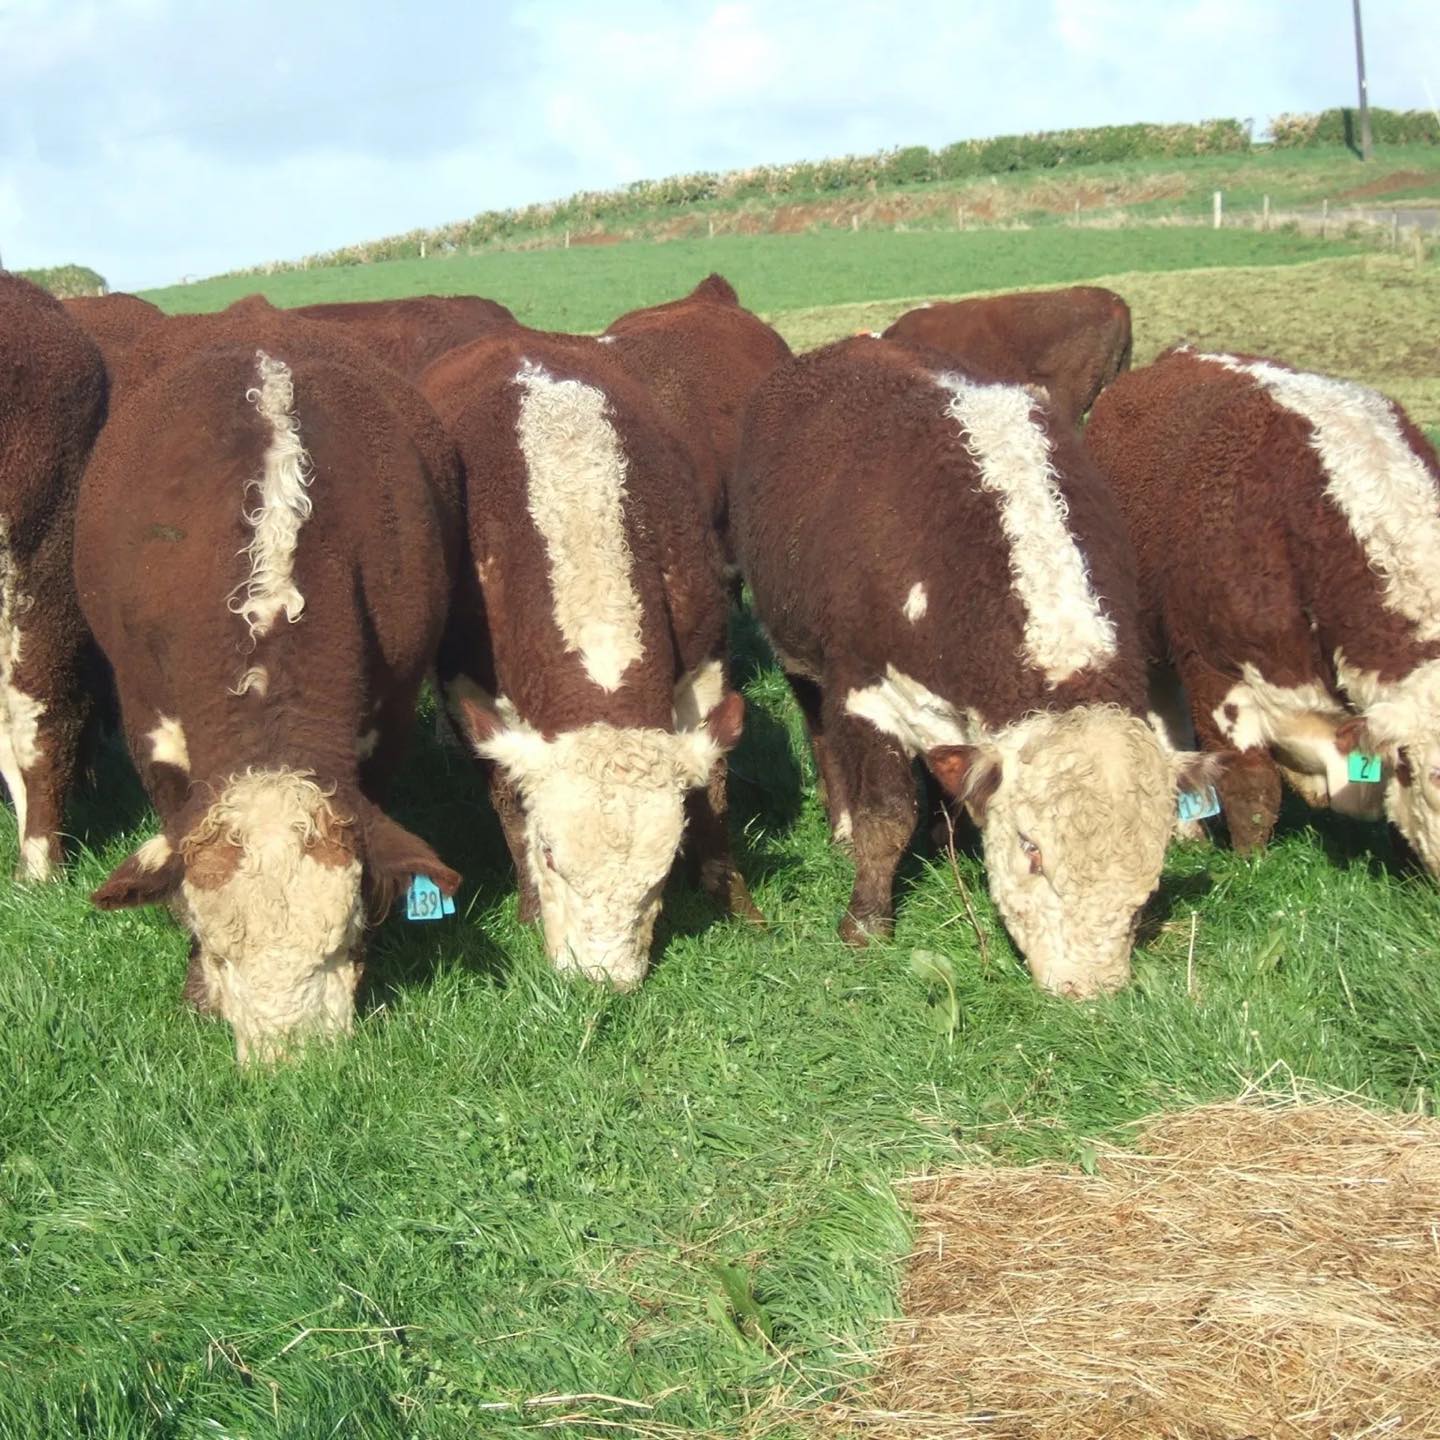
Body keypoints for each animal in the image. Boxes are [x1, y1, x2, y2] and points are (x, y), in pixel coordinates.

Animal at [421, 327, 758, 990]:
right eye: (552, 857)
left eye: (662, 873)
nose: (599, 980)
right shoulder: (464, 681)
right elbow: (506, 794)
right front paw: (528, 904)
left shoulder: (705, 659)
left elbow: (714, 790)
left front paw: (728, 892)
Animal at [732, 336, 1218, 998]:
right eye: (1031, 847)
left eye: (1151, 868)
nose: (1088, 988)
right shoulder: (864, 690)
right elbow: (886, 816)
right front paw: (865, 924)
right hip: (797, 653)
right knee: (820, 732)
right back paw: (841, 824)